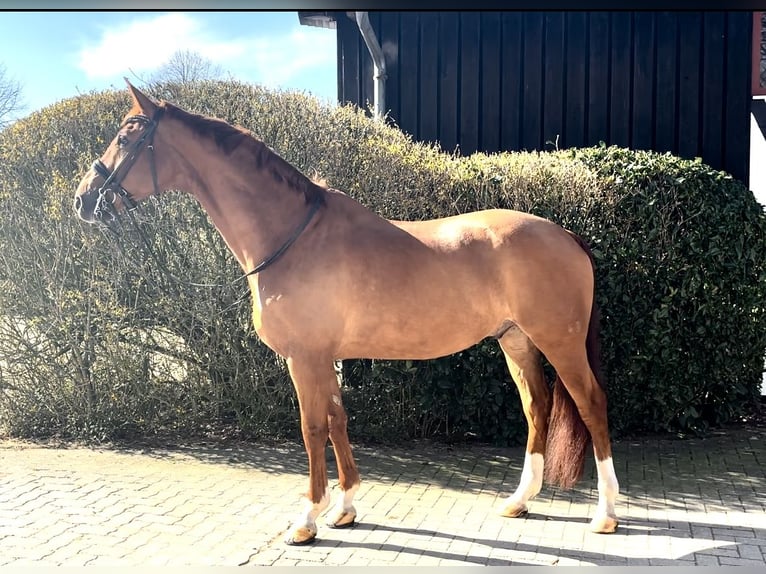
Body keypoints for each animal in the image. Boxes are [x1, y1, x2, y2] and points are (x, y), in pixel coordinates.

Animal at [73, 81, 619, 545]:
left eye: (126, 136)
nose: (83, 199)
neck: (291, 235)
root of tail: (565, 234)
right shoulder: (325, 358)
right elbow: (338, 421)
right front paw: (346, 508)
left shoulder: (303, 357)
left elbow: (312, 428)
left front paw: (307, 519)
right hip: (515, 339)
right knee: (537, 406)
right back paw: (520, 500)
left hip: (559, 340)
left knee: (591, 404)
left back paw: (606, 514)